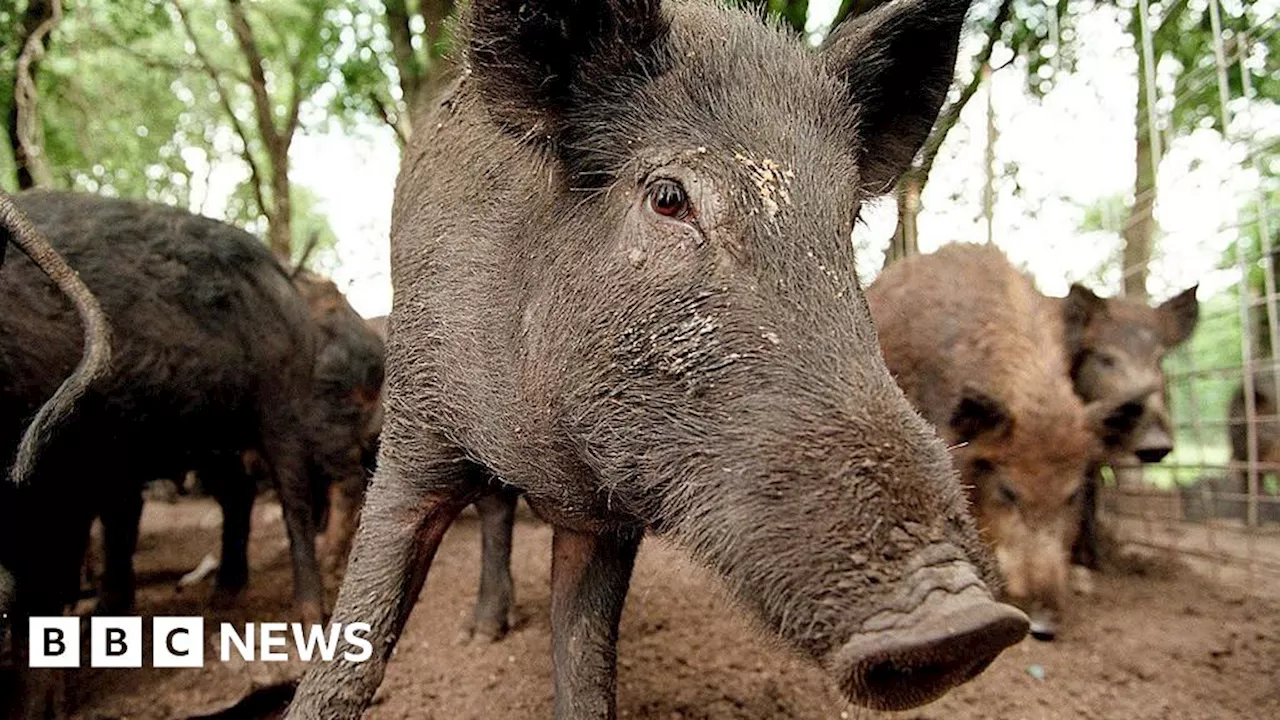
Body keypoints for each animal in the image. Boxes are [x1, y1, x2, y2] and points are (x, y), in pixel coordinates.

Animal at [282, 2, 1029, 712]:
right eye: (668, 197)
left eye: (845, 220)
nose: (964, 623)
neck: (547, 456)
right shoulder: (413, 428)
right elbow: (357, 644)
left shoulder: (604, 521)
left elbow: (587, 667)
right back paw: (483, 634)